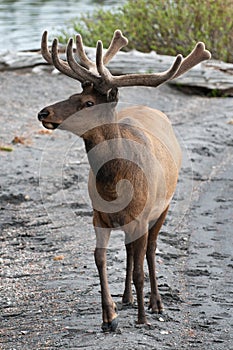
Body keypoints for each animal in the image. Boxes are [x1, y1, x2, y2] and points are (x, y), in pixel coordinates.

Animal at [38, 29, 211, 330]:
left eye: (88, 103)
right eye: (73, 94)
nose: (44, 113)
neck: (115, 187)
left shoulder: (142, 217)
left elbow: (142, 267)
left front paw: (142, 319)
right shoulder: (98, 216)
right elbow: (100, 259)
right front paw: (109, 317)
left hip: (163, 207)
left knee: (150, 251)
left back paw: (155, 303)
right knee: (131, 251)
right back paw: (127, 298)